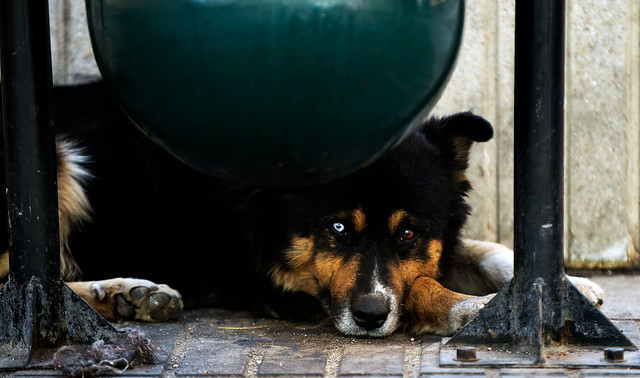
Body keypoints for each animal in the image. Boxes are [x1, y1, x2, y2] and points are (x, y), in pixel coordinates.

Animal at [0, 82, 604, 336]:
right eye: (336, 228)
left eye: (409, 234)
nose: (369, 318)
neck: (254, 198)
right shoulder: (280, 285)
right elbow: (421, 289)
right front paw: (475, 310)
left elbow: (473, 249)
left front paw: (565, 285)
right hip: (55, 161)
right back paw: (124, 292)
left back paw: (130, 297)